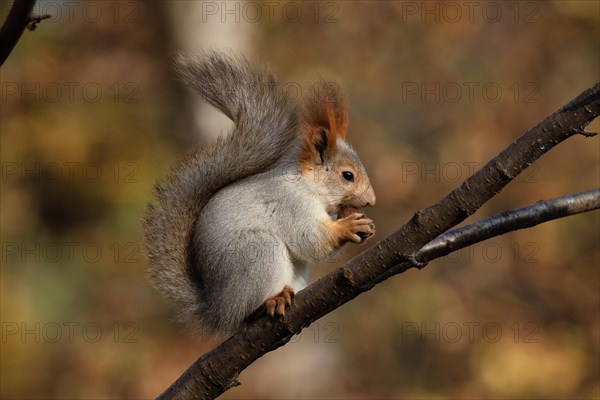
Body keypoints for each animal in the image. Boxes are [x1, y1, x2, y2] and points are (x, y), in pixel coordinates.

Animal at [144, 50, 376, 338]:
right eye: (348, 176)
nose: (372, 201)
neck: (306, 184)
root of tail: (218, 310)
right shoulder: (291, 204)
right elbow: (310, 240)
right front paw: (349, 226)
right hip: (258, 252)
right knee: (246, 312)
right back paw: (269, 302)